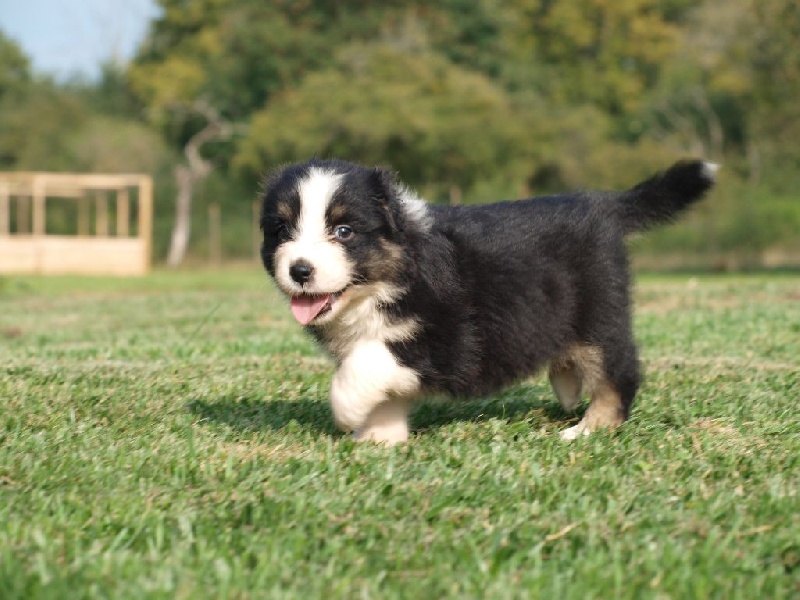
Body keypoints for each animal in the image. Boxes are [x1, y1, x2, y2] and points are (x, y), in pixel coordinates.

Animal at [259, 158, 716, 444]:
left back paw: (588, 429)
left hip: (598, 309)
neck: (383, 285)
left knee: (618, 371)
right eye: (281, 230)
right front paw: (380, 438)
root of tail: (603, 204)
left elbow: (366, 364)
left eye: (344, 231)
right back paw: (567, 386)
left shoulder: (451, 339)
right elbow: (381, 386)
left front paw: (348, 412)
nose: (300, 270)